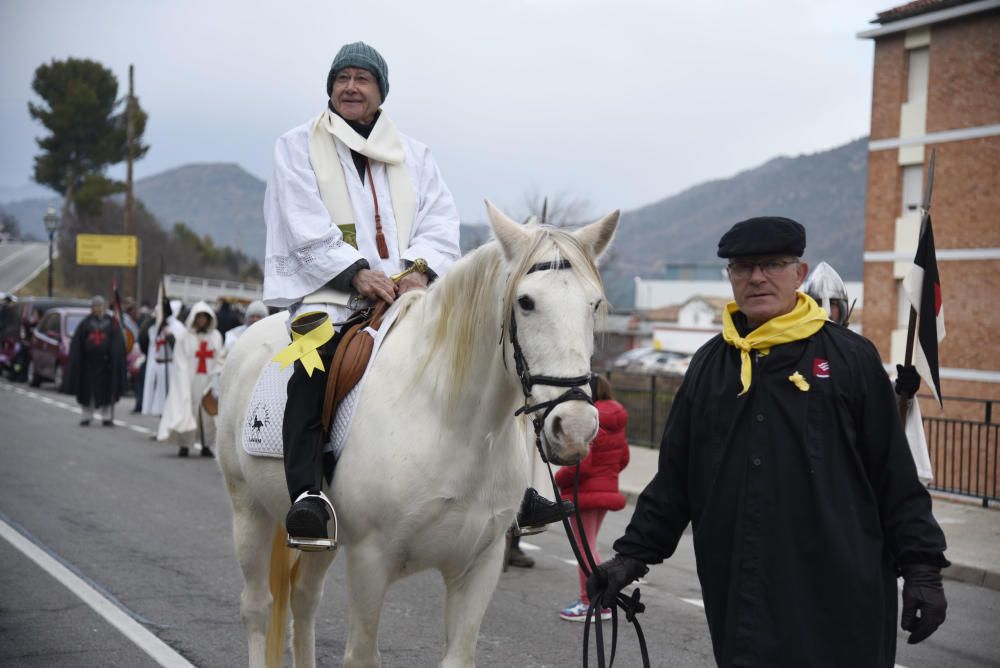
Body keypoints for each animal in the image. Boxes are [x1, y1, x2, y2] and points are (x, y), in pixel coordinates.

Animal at [219, 204, 616, 668]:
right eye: (526, 302)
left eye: (593, 304)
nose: (575, 427)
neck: (452, 425)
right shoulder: (370, 563)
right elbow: (361, 655)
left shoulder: (478, 566)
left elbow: (458, 655)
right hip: (249, 511)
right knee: (257, 607)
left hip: (322, 540)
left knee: (303, 598)